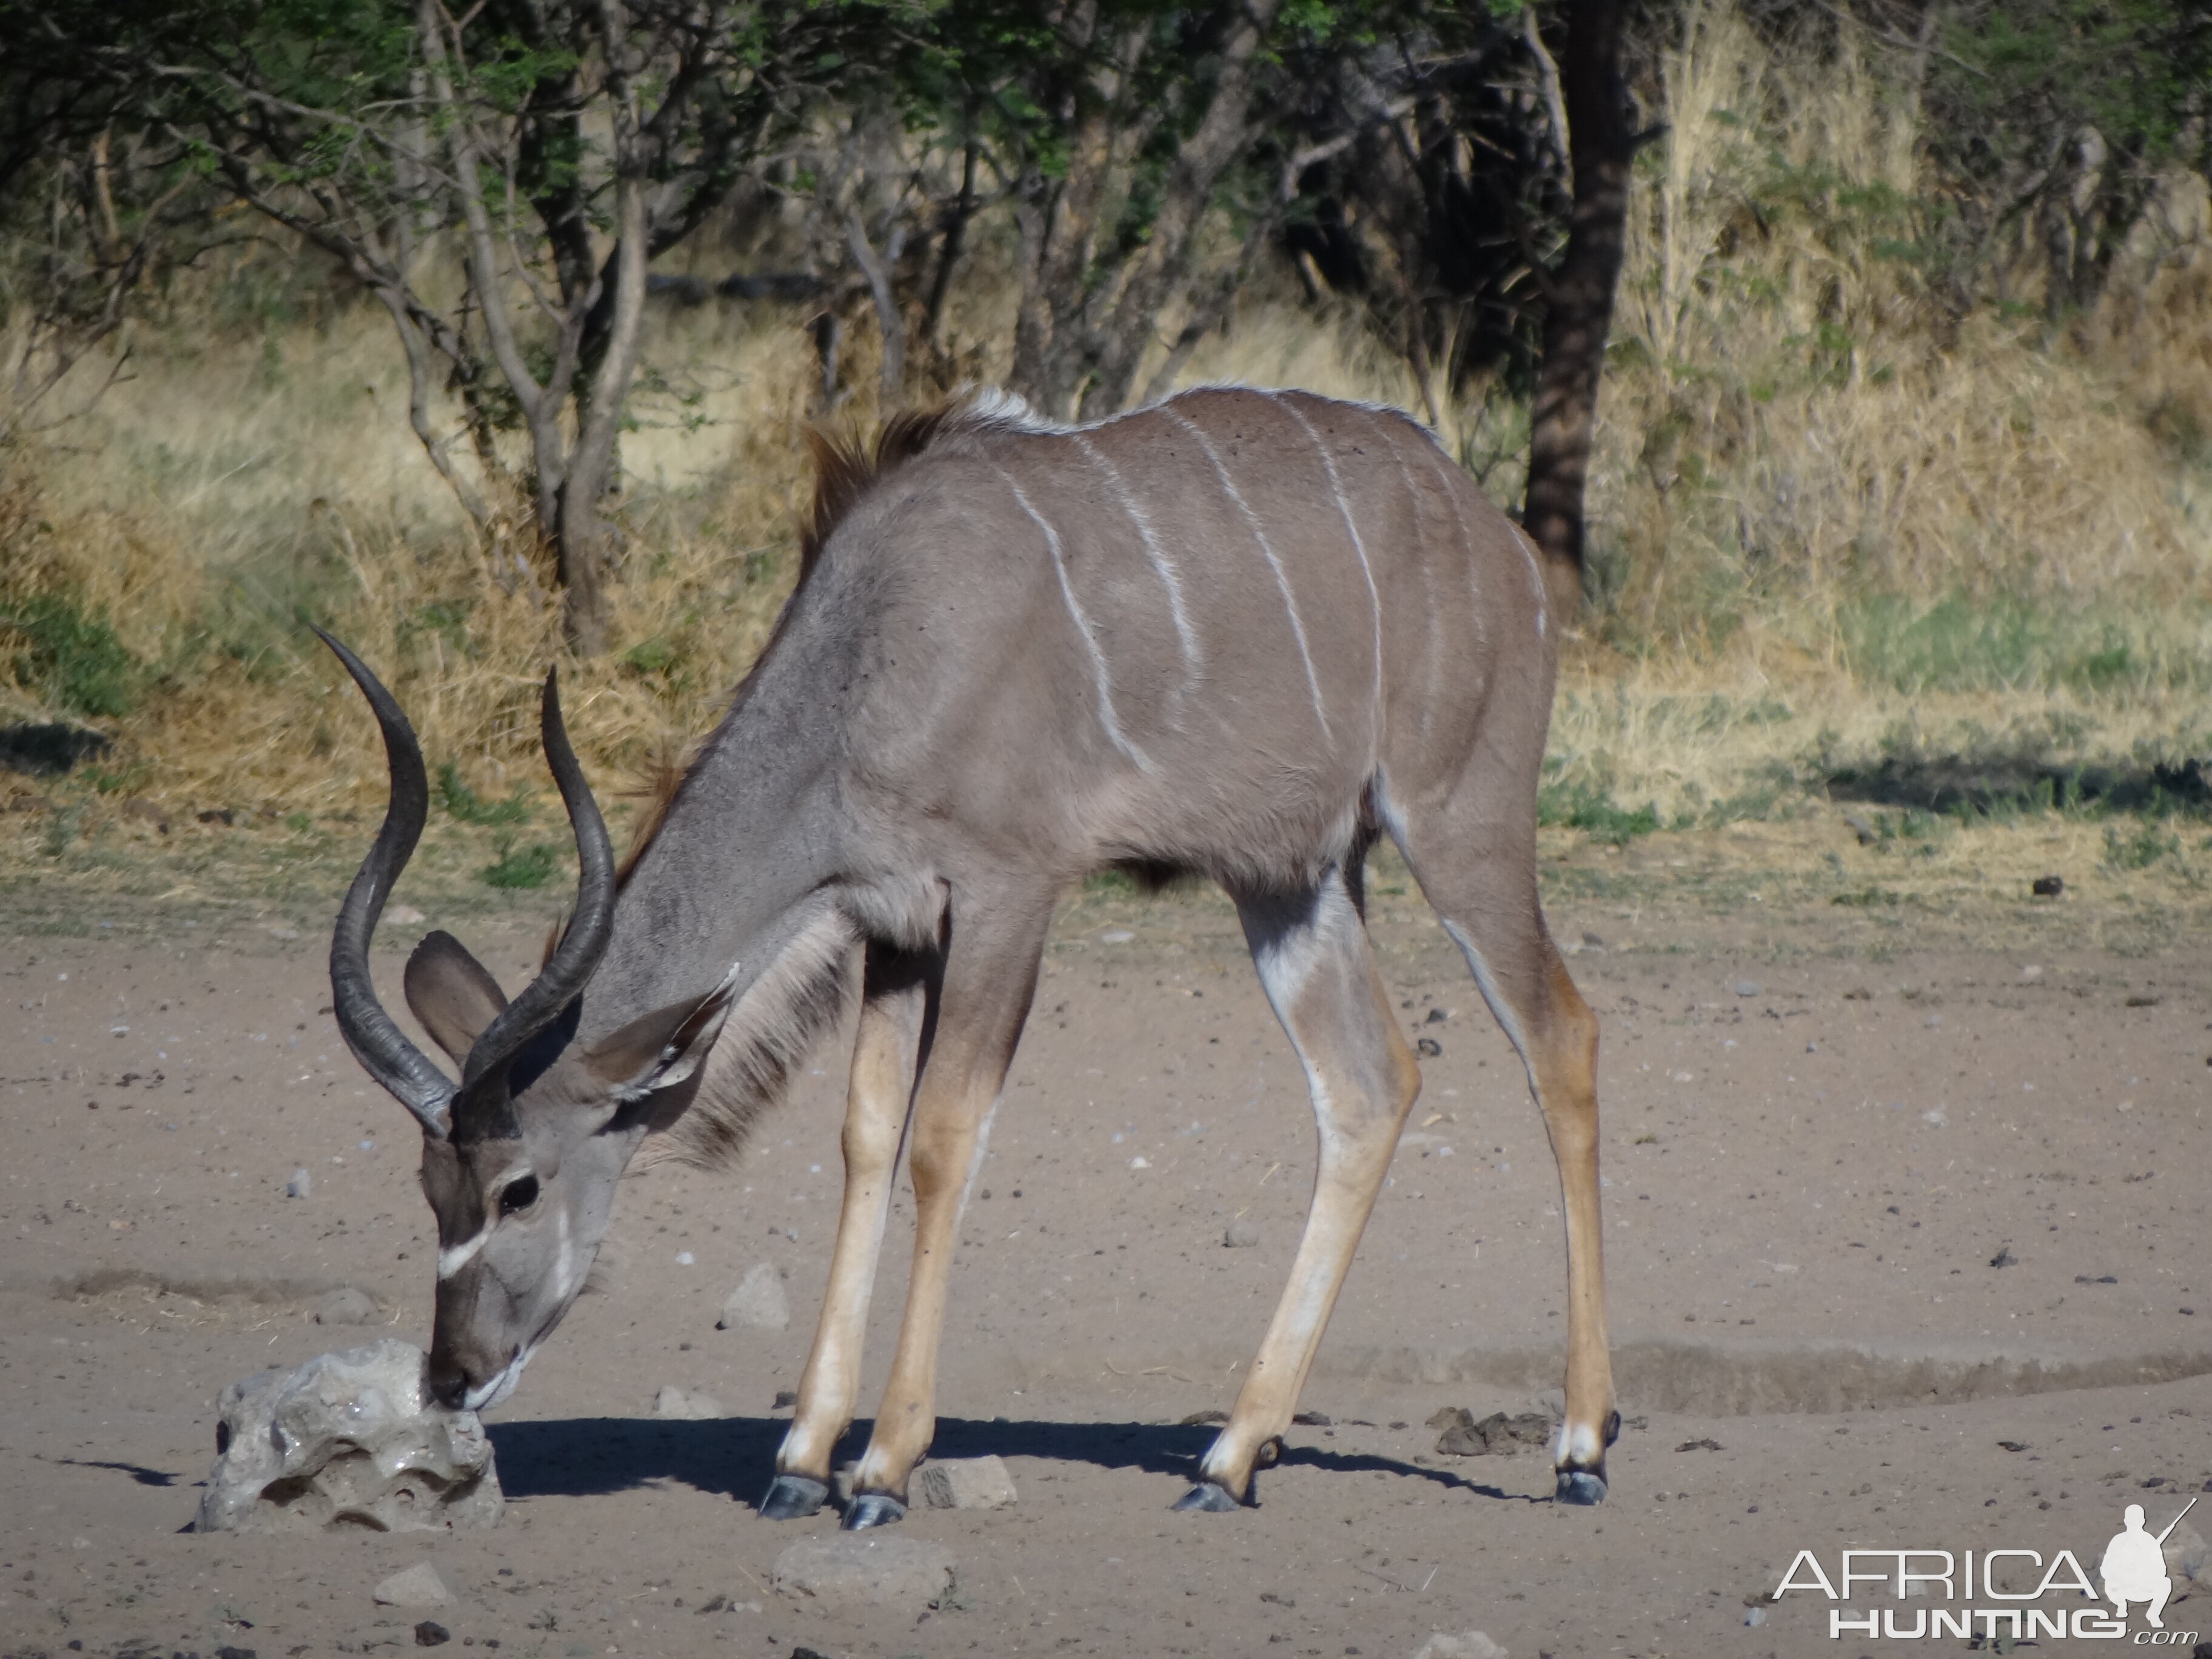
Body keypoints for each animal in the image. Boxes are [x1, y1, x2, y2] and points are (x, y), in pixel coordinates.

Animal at [320, 383, 1619, 1530]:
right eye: (428, 1186)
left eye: (519, 1186)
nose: (452, 1375)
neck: (876, 650)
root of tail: (1500, 540)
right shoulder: (893, 925)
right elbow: (864, 1140)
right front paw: (801, 1457)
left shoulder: (1005, 894)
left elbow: (945, 1140)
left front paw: (884, 1468)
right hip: (1290, 883)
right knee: (1368, 1086)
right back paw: (1230, 1454)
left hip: (1458, 826)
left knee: (1559, 1034)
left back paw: (1579, 1446)